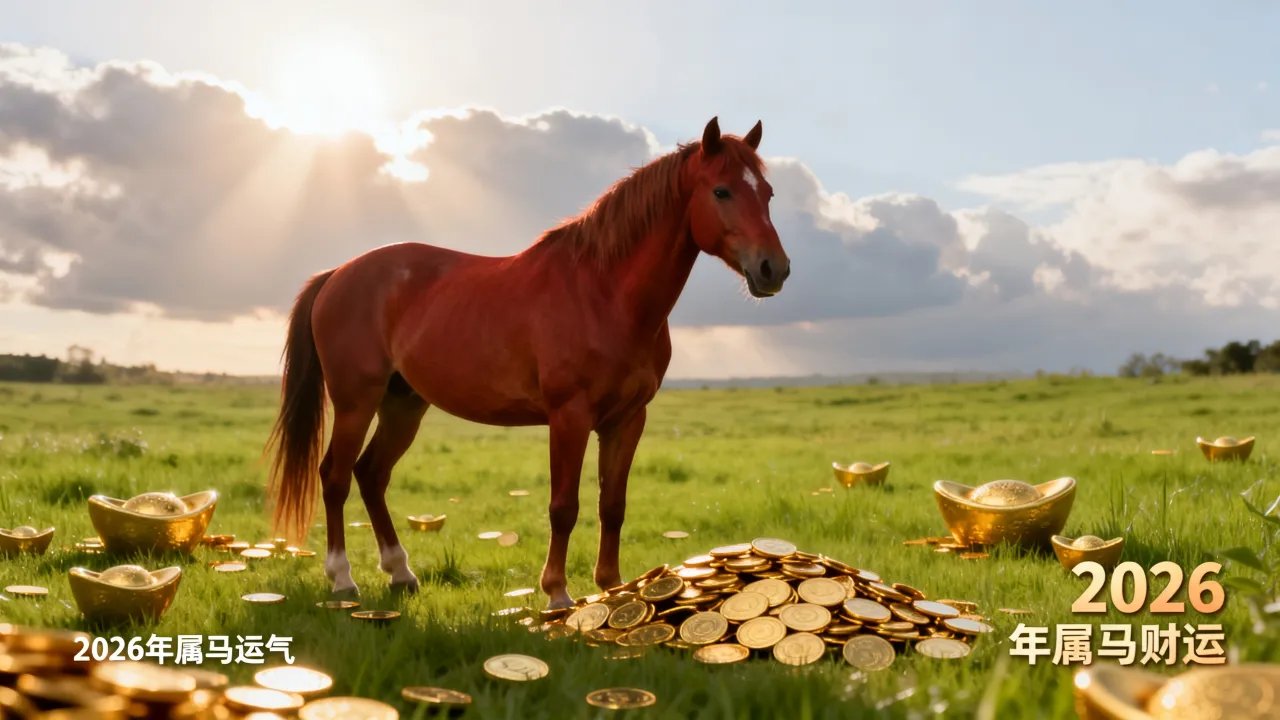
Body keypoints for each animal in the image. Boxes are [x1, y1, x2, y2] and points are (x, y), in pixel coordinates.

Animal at [266, 116, 791, 608]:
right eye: (721, 190)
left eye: (767, 193)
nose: (775, 269)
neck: (604, 294)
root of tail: (338, 273)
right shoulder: (569, 416)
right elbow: (564, 506)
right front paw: (557, 594)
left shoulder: (627, 420)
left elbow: (612, 505)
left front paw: (613, 590)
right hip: (356, 402)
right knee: (335, 477)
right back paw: (342, 579)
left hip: (404, 404)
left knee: (372, 474)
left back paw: (401, 574)